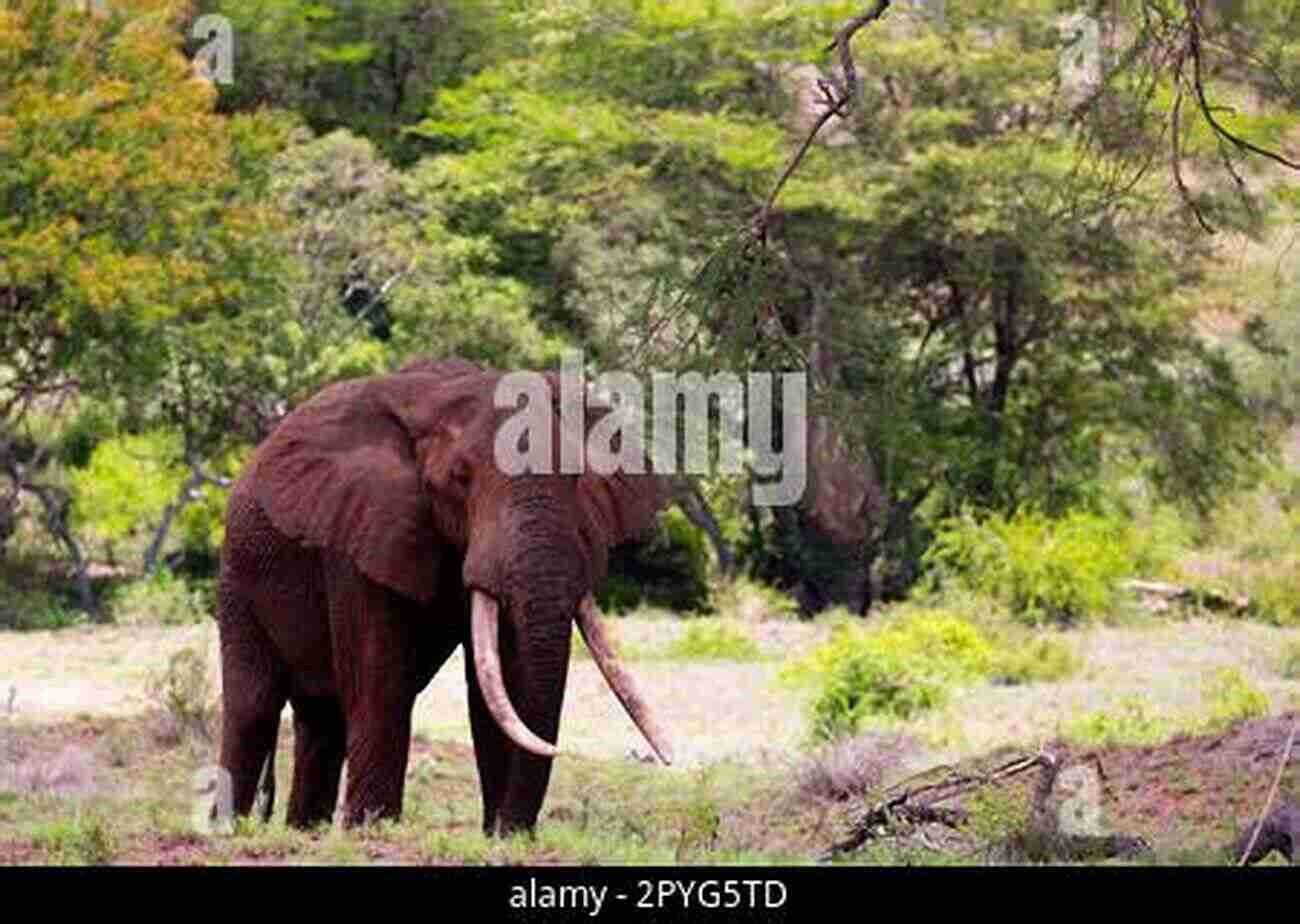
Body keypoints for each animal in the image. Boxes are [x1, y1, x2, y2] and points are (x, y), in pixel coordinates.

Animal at [214, 358, 676, 836]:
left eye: (575, 477)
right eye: (460, 478)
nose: (512, 831)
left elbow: (497, 683)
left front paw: (498, 838)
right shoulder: (358, 533)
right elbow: (380, 678)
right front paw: (371, 830)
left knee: (321, 720)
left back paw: (305, 832)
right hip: (237, 576)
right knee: (253, 706)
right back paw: (229, 829)